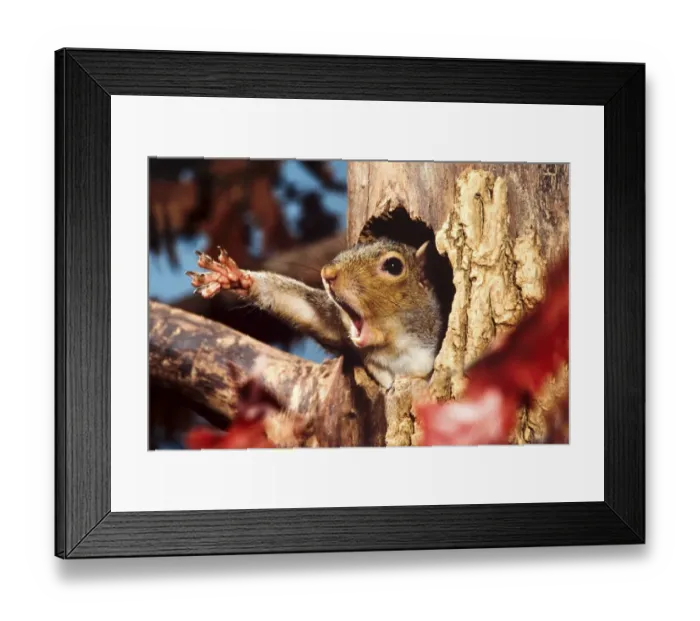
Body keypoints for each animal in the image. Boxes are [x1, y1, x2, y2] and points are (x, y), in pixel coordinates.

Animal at [186, 238, 446, 389]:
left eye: (393, 266)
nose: (327, 273)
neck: (396, 346)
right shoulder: (339, 328)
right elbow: (304, 308)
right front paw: (234, 278)